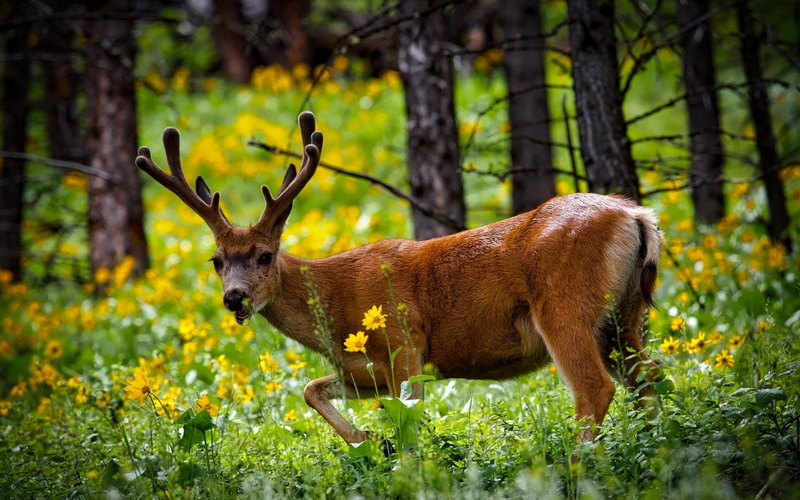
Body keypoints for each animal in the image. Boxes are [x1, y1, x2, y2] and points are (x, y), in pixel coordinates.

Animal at [135, 111, 664, 445]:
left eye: (265, 255)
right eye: (216, 260)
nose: (235, 298)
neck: (335, 304)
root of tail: (637, 215)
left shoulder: (404, 344)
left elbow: (409, 428)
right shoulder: (364, 370)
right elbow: (310, 389)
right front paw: (365, 439)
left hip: (564, 305)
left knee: (595, 389)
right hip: (624, 316)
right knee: (650, 380)